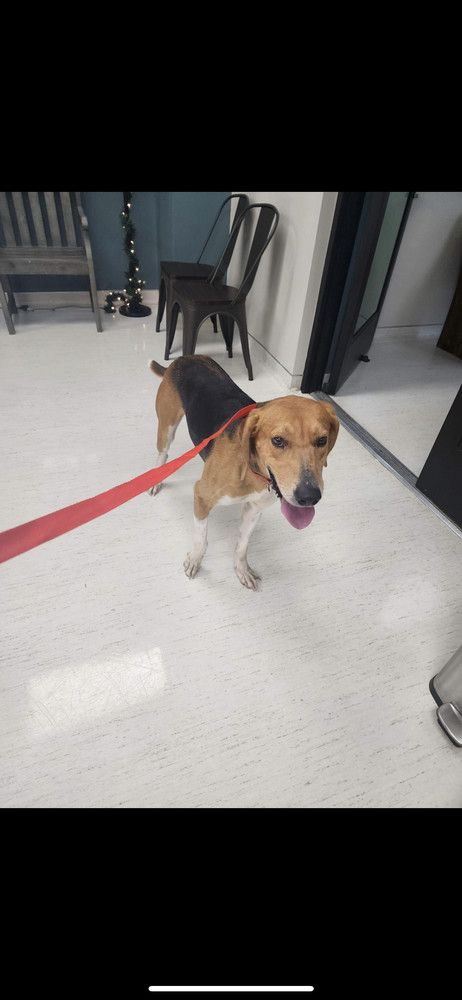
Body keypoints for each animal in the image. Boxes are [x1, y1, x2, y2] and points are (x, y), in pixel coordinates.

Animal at [148, 354, 340, 584]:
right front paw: (194, 560)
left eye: (322, 440)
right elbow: (201, 541)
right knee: (163, 454)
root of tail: (184, 358)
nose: (309, 497)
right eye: (278, 440)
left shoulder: (254, 509)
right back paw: (156, 480)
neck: (252, 471)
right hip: (166, 425)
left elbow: (242, 545)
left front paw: (241, 569)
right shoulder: (201, 496)